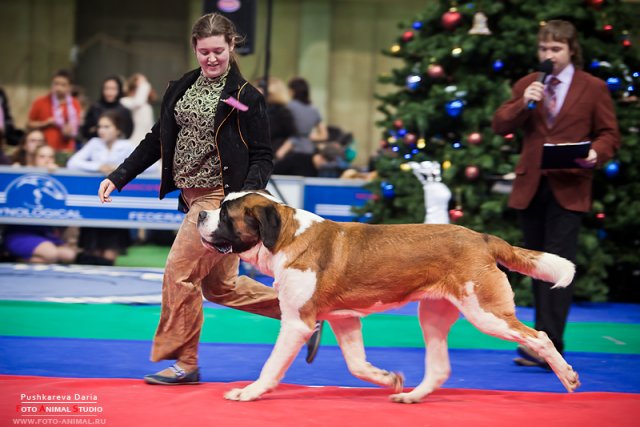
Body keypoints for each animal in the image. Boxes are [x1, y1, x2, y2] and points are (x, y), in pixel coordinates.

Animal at [198, 192, 584, 402]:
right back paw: (410, 396)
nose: (200, 212)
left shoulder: (297, 323)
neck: (284, 236)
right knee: (440, 368)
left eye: (226, 215)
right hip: (433, 314)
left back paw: (566, 375)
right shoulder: (345, 319)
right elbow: (356, 364)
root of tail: (483, 238)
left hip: (486, 313)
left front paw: (249, 392)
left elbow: (272, 364)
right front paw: (387, 378)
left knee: (540, 336)